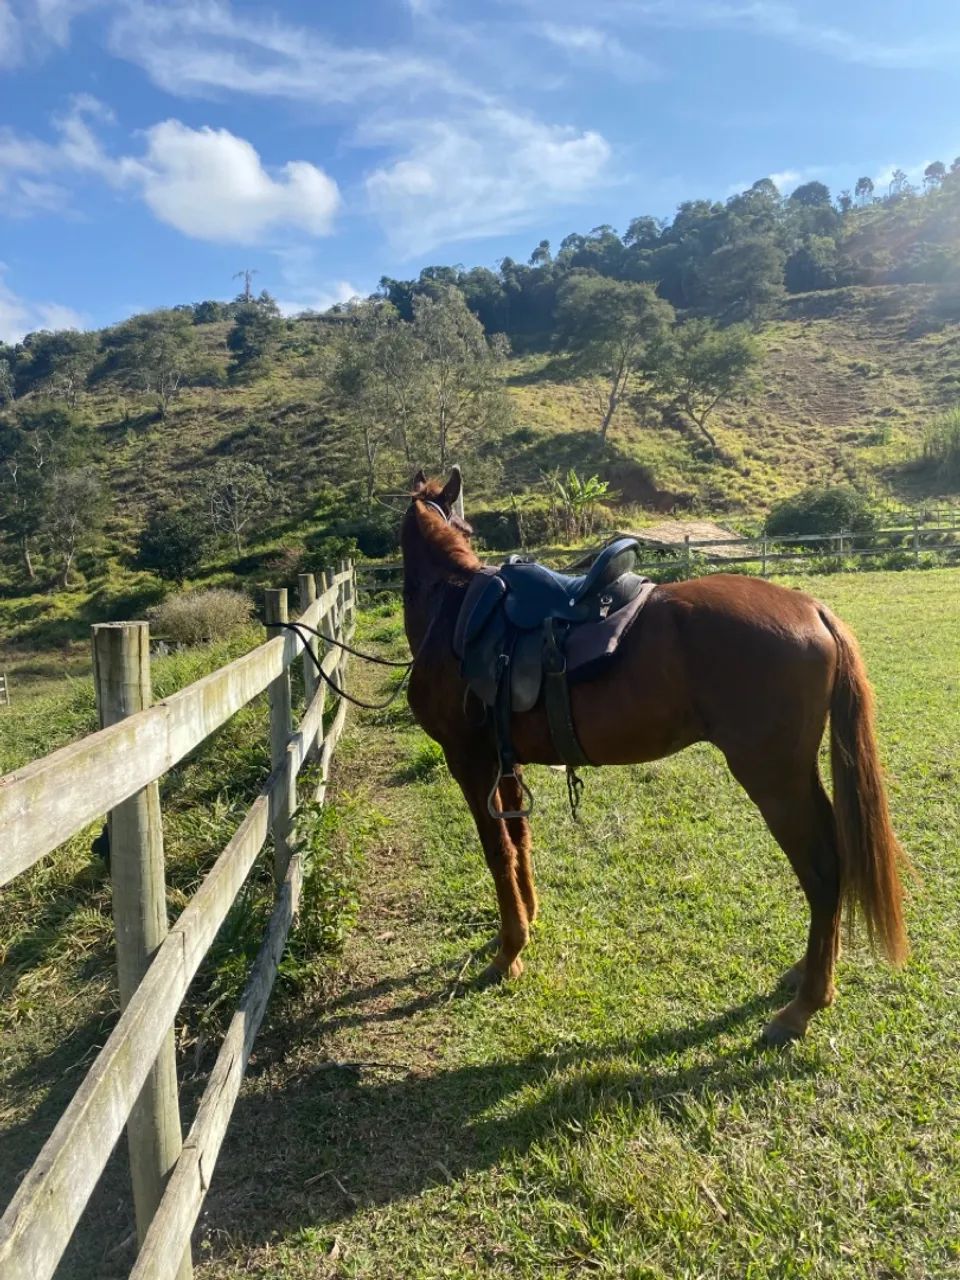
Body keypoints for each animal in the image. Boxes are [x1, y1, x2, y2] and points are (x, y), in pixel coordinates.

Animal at [401, 468, 908, 1044]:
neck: (456, 614)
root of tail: (812, 610)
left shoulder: (469, 761)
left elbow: (497, 853)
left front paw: (509, 952)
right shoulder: (505, 762)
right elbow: (520, 841)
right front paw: (526, 921)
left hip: (774, 780)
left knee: (822, 871)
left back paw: (805, 1003)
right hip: (793, 778)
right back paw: (810, 971)